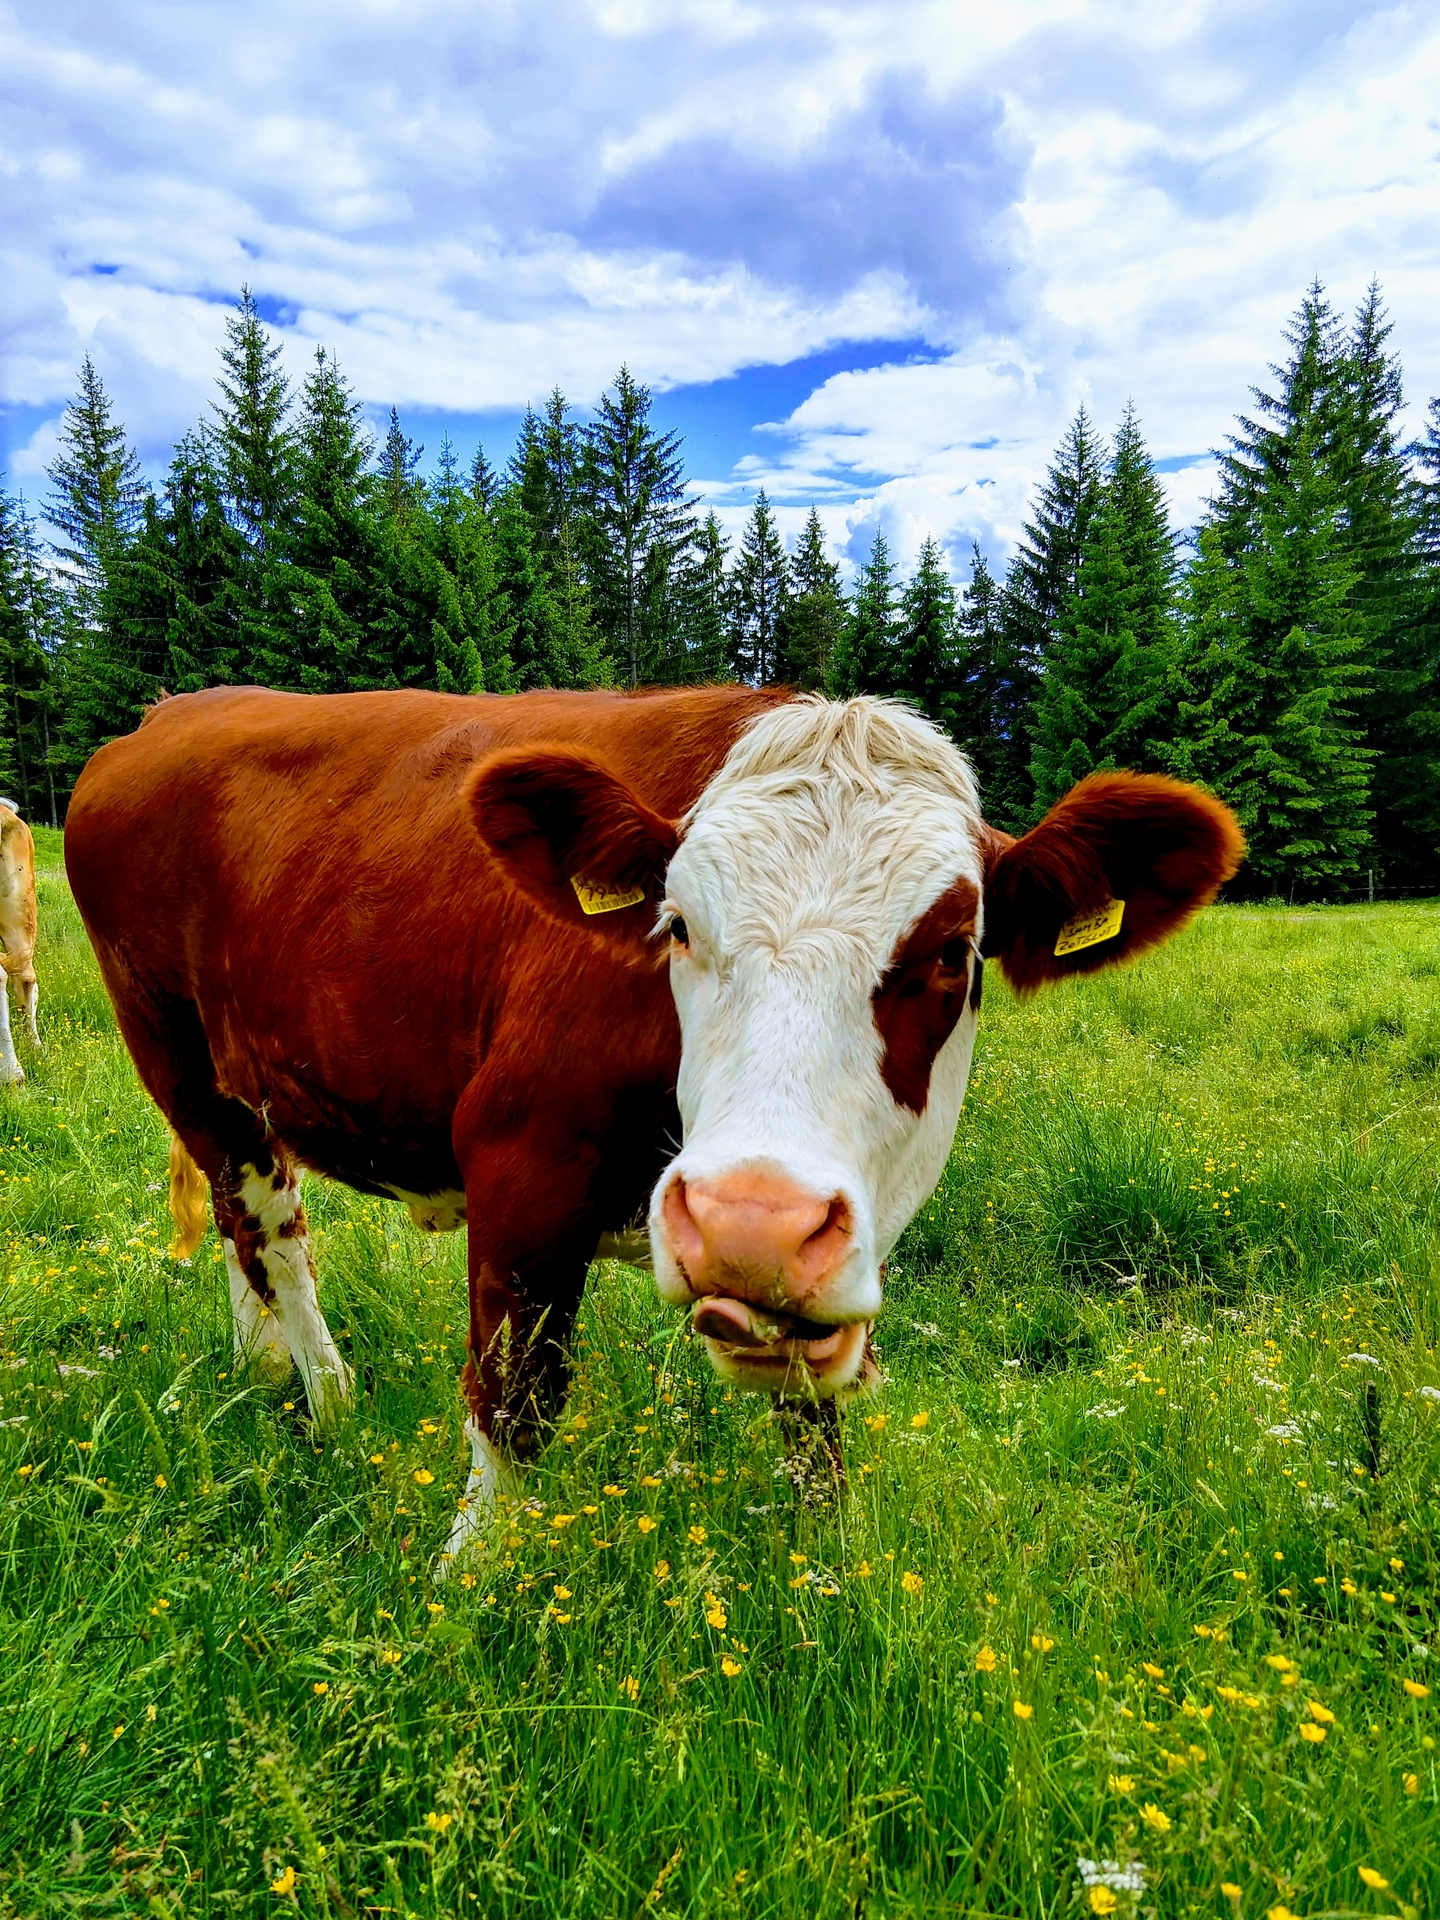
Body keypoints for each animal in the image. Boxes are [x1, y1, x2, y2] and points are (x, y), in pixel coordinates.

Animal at [64, 685, 1242, 1559]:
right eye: (675, 923)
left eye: (954, 953)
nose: (749, 1222)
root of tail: (169, 714)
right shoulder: (521, 1165)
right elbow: (513, 1404)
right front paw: (465, 1594)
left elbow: (813, 1431)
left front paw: (827, 1578)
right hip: (173, 1049)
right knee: (268, 1226)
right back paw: (327, 1395)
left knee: (241, 1223)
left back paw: (260, 1366)